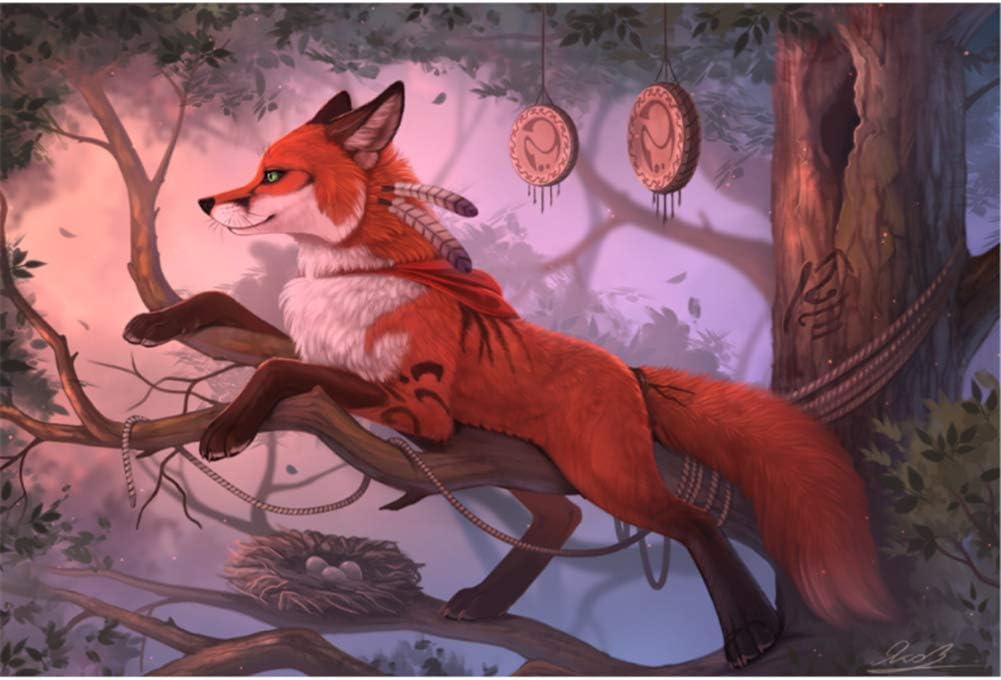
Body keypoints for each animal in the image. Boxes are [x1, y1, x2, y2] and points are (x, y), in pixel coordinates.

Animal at [123, 81, 899, 667]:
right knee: (563, 516)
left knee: (688, 521)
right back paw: (487, 600)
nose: (204, 203)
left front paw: (229, 427)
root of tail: (629, 371)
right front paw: (159, 325)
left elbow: (281, 366)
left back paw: (748, 629)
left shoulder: (420, 411)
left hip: (597, 471)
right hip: (518, 466)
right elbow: (230, 309)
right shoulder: (329, 348)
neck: (355, 272)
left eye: (272, 174)